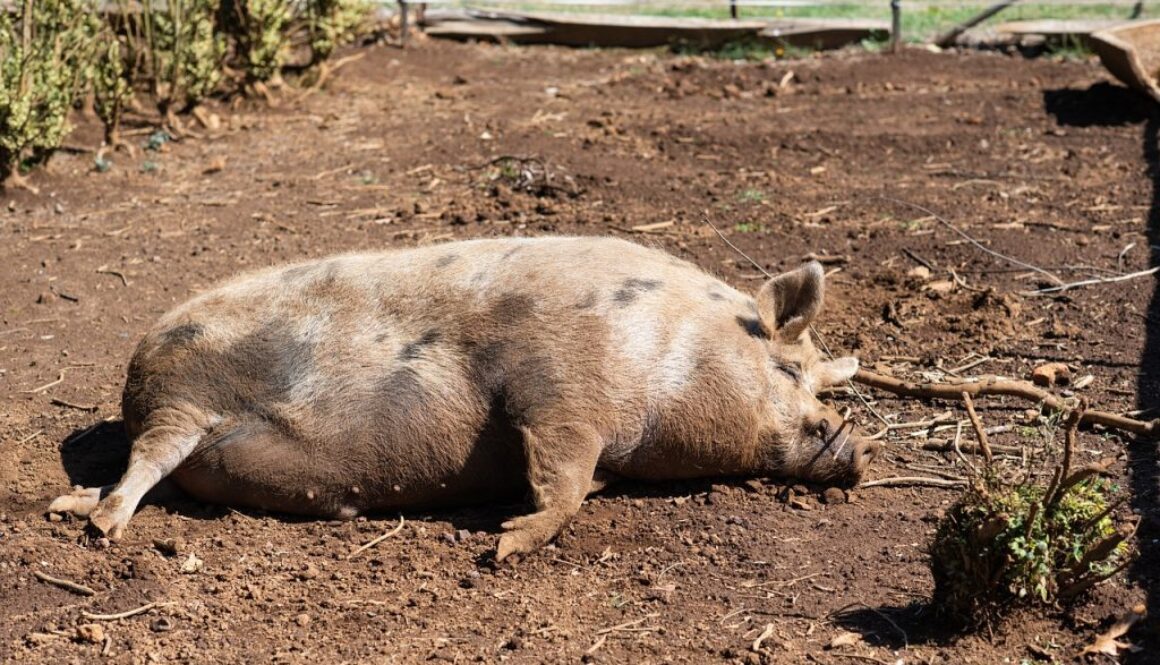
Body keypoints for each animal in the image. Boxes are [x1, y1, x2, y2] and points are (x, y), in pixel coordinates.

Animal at [49, 236, 877, 560]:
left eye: (822, 378)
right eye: (789, 369)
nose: (857, 445)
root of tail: (136, 369)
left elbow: (578, 481)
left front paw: (507, 531)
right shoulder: (558, 385)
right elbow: (561, 477)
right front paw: (505, 544)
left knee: (146, 469)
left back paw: (76, 506)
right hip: (181, 398)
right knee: (145, 464)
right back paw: (98, 527)